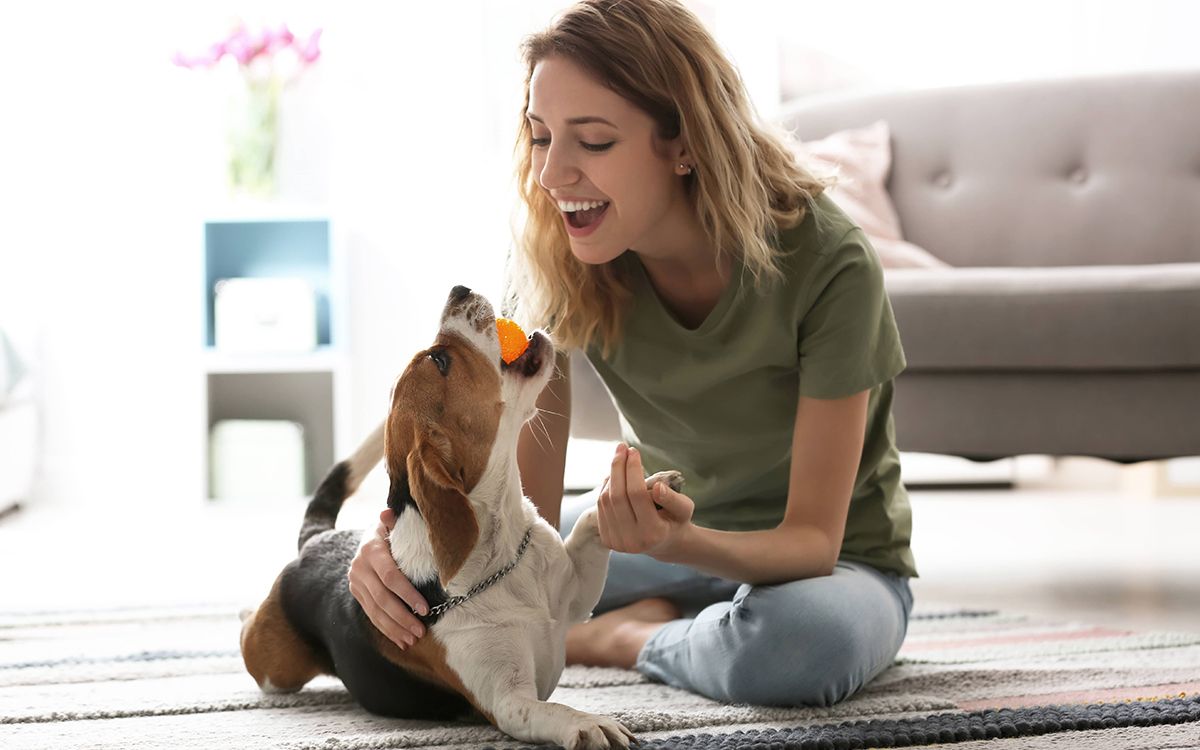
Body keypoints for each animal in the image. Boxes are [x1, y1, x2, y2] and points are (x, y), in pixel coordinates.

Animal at [238, 286, 681, 748]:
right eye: (440, 360)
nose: (459, 290)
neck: (499, 551)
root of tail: (316, 540)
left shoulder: (576, 596)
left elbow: (589, 525)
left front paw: (640, 490)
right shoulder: (508, 701)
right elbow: (553, 709)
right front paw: (588, 722)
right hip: (275, 670)